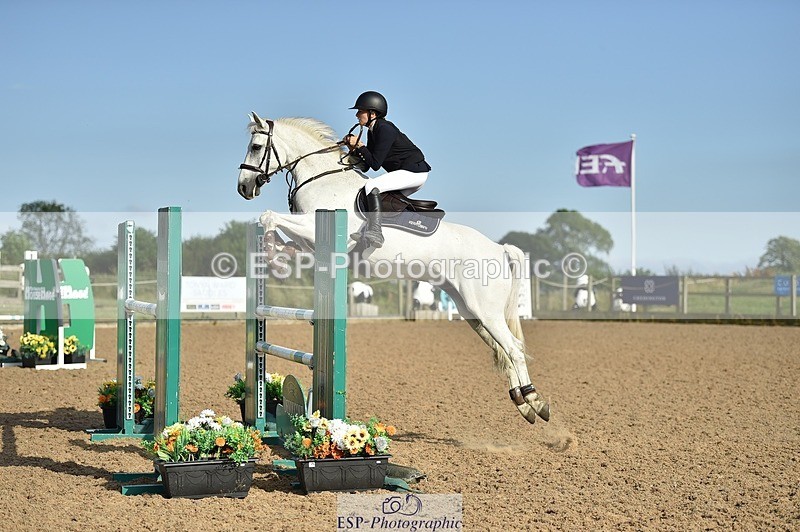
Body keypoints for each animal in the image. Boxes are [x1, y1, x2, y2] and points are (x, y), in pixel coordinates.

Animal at [237, 112, 550, 424]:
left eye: (255, 147)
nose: (244, 188)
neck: (321, 179)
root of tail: (499, 249)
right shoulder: (310, 242)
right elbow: (284, 236)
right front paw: (276, 250)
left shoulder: (317, 229)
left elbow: (269, 217)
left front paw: (271, 252)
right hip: (471, 311)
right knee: (504, 349)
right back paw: (523, 403)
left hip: (485, 309)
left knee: (514, 349)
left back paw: (535, 401)